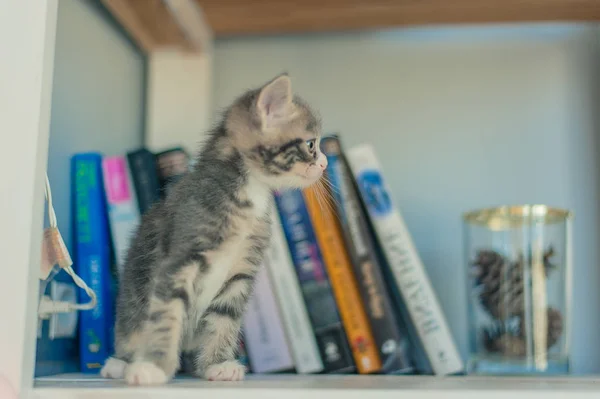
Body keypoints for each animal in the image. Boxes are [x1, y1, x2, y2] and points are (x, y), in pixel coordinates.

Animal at [101, 73, 326, 386]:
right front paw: (154, 367)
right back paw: (120, 363)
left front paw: (217, 364)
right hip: (131, 305)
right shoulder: (180, 257)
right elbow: (167, 313)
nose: (325, 163)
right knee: (130, 330)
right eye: (311, 144)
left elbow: (225, 318)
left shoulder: (241, 272)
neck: (249, 193)